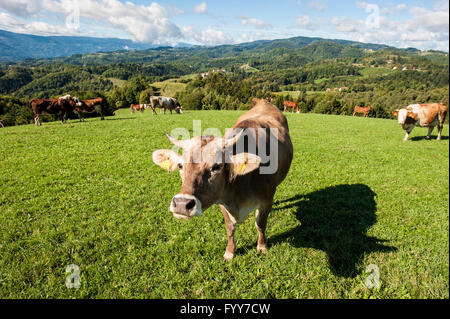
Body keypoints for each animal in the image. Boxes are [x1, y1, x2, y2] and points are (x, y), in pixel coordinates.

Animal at [153, 101, 294, 262]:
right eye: (180, 166)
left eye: (216, 167)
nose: (182, 204)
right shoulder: (222, 201)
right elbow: (230, 228)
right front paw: (230, 251)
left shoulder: (266, 201)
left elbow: (260, 224)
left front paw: (262, 246)